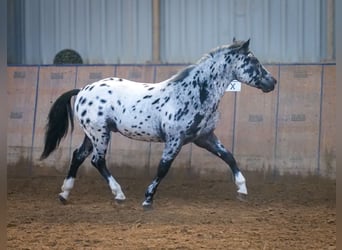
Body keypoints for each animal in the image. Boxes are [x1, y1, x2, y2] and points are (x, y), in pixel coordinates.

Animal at [40, 38, 276, 208]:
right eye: (254, 61)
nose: (272, 82)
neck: (194, 93)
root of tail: (82, 90)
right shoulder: (175, 140)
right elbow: (163, 168)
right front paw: (147, 199)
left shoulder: (204, 137)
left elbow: (228, 157)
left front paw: (242, 190)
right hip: (100, 134)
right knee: (97, 161)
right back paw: (119, 195)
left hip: (93, 134)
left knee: (78, 156)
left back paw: (64, 194)